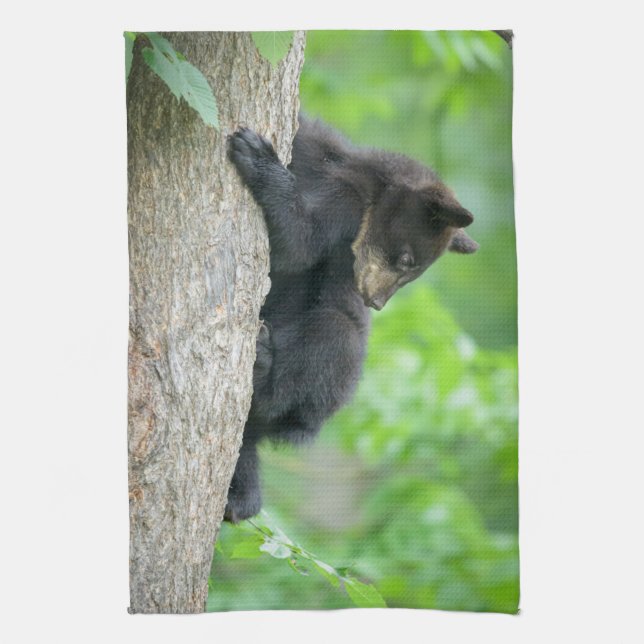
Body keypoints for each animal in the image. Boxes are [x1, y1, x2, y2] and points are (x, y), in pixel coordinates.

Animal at [225, 116, 478, 522]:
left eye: (412, 271)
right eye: (406, 260)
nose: (374, 302)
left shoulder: (346, 208)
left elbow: (300, 243)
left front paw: (257, 156)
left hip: (326, 383)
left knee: (328, 341)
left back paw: (262, 369)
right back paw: (240, 497)